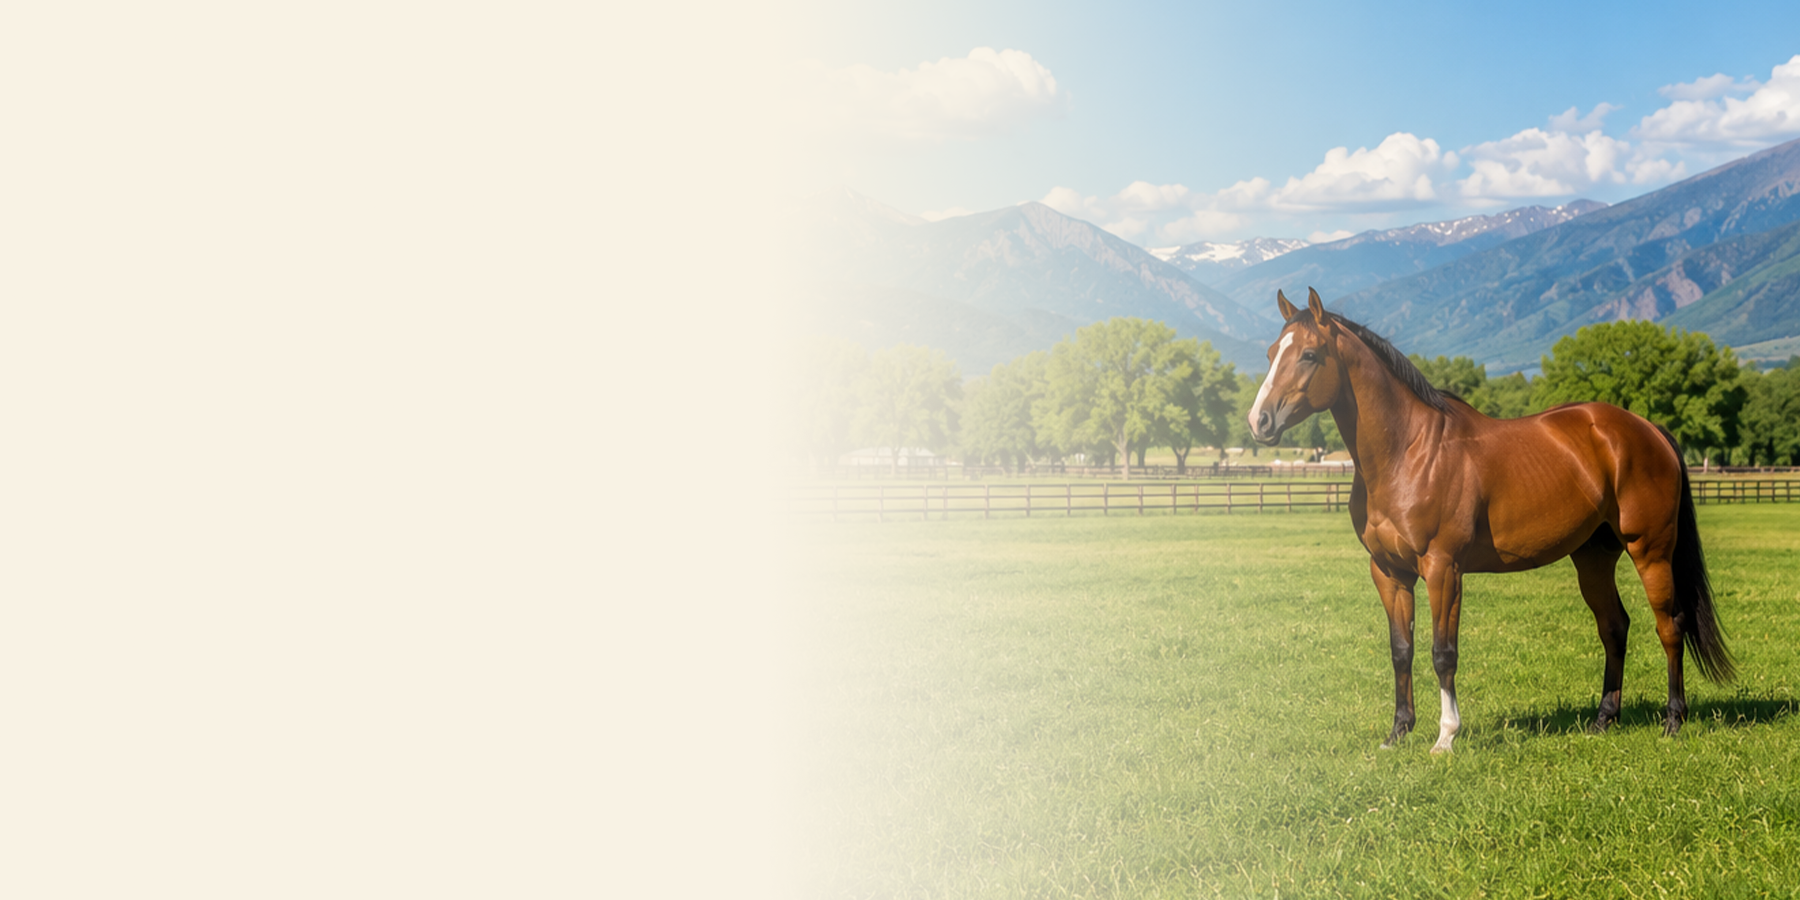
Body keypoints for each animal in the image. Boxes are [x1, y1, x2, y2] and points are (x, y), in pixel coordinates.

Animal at [1249, 288, 1734, 753]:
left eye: (1309, 355)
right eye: (1271, 353)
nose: (1259, 421)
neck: (1408, 453)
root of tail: (1648, 429)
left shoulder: (1443, 569)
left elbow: (1443, 652)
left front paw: (1446, 737)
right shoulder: (1389, 572)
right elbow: (1401, 649)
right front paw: (1398, 733)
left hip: (1650, 552)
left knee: (1670, 626)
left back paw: (1673, 721)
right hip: (1593, 558)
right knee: (1614, 628)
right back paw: (1603, 720)